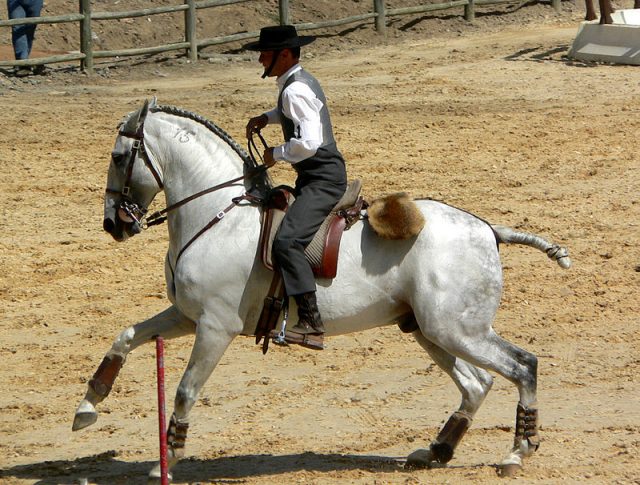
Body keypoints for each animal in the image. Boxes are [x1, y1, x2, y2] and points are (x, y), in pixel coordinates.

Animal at [74, 98, 568, 480]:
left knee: (522, 365)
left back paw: (516, 452)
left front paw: (169, 458)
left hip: (457, 330)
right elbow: (125, 336)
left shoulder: (215, 327)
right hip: (431, 331)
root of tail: (488, 230)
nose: (113, 225)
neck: (218, 216)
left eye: (118, 156)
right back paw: (436, 450)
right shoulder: (185, 316)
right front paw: (89, 404)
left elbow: (184, 389)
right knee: (477, 382)